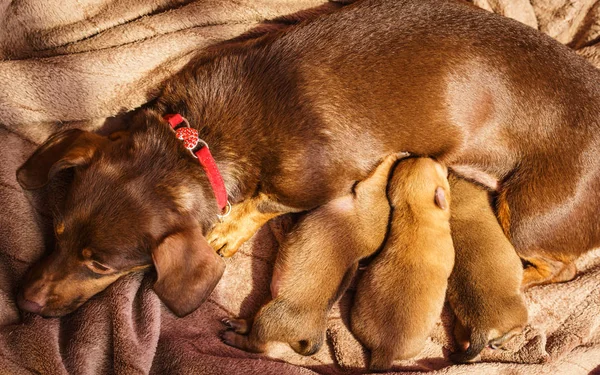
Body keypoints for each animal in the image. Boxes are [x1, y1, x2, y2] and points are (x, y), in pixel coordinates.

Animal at [14, 0, 600, 318]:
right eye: (56, 232)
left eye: (101, 265)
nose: (25, 304)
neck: (199, 142)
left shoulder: (311, 186)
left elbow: (262, 204)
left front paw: (228, 230)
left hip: (527, 214)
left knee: (563, 266)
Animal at [220, 152, 404, 356]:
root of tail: (314, 334)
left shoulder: (369, 191)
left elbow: (381, 172)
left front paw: (395, 156)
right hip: (267, 307)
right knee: (252, 326)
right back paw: (236, 323)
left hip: (270, 318)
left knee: (256, 345)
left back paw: (232, 337)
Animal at [448, 176, 528, 364]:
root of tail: (481, 328)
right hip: (520, 311)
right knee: (517, 327)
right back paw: (499, 342)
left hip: (461, 330)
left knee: (464, 346)